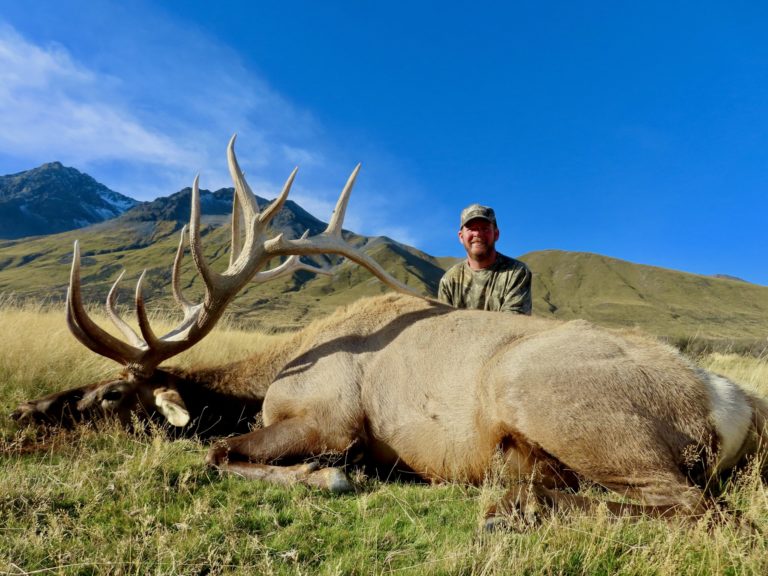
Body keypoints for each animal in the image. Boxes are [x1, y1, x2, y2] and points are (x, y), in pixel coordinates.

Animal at [12, 135, 768, 528]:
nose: (20, 416)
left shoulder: (330, 417)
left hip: (550, 398)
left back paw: (509, 509)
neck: (273, 372)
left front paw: (327, 478)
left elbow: (218, 451)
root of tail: (731, 402)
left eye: (111, 394)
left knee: (705, 510)